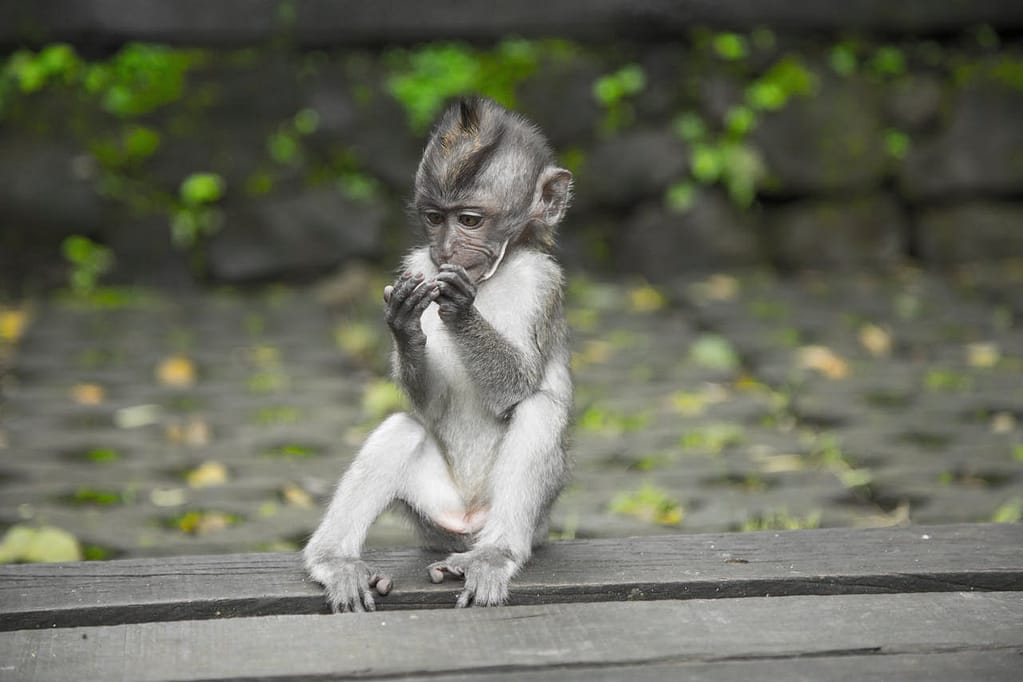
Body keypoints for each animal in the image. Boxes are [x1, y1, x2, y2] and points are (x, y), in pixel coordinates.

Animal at [303, 97, 573, 612]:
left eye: (468, 220)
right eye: (433, 217)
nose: (445, 248)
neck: (494, 275)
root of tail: (467, 519)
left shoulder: (543, 282)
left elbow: (520, 386)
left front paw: (461, 310)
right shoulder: (417, 265)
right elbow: (427, 404)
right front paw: (405, 326)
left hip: (537, 518)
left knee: (539, 411)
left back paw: (493, 555)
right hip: (431, 514)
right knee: (401, 428)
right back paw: (336, 562)